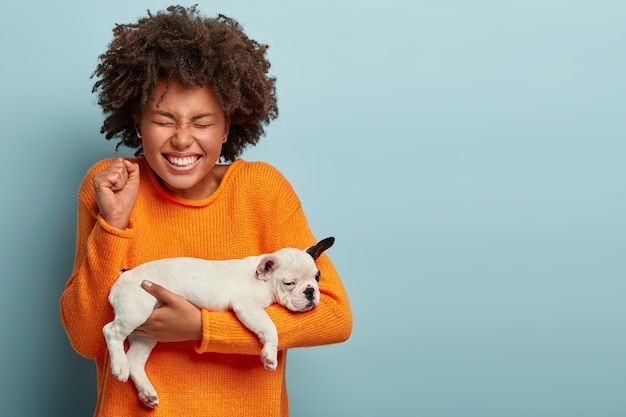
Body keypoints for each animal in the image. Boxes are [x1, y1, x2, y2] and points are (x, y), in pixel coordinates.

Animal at [102, 237, 334, 406]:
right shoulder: (247, 305)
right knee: (110, 331)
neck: (263, 279)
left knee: (135, 360)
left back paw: (146, 391)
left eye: (317, 277)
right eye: (289, 283)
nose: (310, 292)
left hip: (146, 334)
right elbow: (269, 327)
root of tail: (122, 279)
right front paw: (269, 355)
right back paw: (119, 367)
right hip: (136, 310)